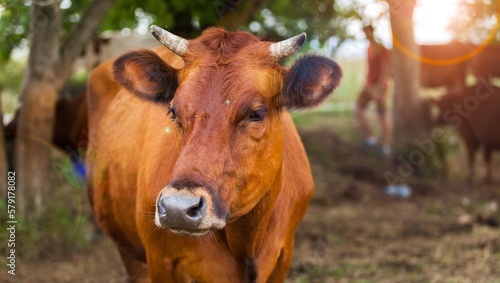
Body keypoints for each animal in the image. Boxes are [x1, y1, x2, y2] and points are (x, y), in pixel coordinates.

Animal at [88, 25, 342, 282]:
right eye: (173, 111)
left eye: (256, 113)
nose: (177, 208)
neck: (247, 240)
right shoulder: (161, 261)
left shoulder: (283, 257)